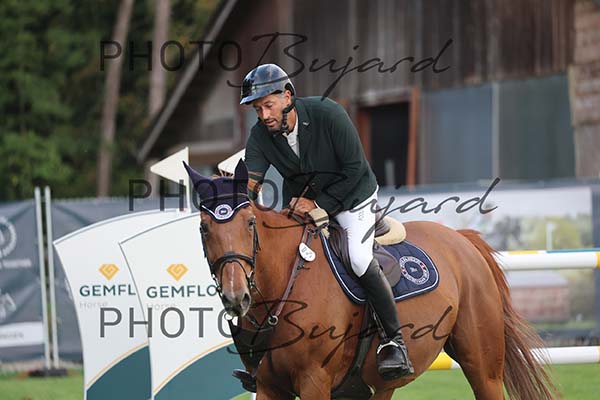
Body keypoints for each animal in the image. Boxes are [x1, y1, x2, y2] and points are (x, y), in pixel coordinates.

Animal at [183, 161, 557, 400]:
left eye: (249, 223)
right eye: (203, 228)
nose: (236, 296)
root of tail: (462, 240)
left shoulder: (314, 382)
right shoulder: (269, 387)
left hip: (483, 367)